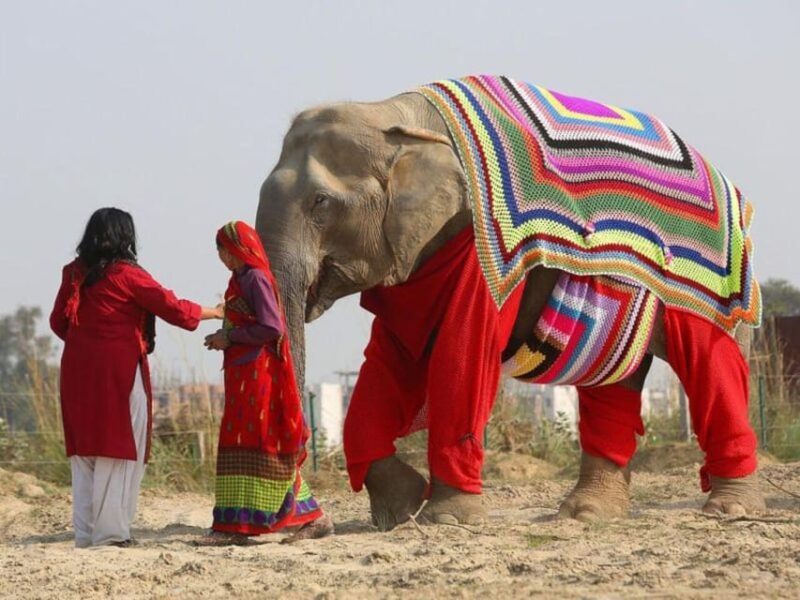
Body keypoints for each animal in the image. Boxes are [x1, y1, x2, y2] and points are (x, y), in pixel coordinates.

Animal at [255, 76, 766, 528]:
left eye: (321, 203)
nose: (311, 524)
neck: (393, 112)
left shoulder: (481, 247)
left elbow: (463, 348)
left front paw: (447, 519)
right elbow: (390, 356)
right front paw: (401, 511)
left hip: (715, 280)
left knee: (712, 363)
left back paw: (729, 509)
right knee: (612, 382)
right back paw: (586, 516)